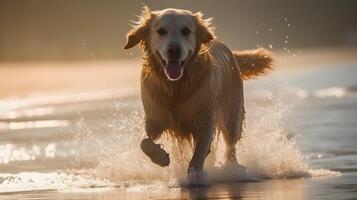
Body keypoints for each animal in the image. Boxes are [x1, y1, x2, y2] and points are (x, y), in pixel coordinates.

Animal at [124, 7, 272, 185]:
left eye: (186, 31)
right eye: (161, 31)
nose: (174, 50)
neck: (176, 86)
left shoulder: (205, 122)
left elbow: (198, 155)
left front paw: (194, 177)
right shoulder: (155, 119)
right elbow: (144, 142)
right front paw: (160, 157)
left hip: (232, 117)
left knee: (231, 146)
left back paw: (233, 170)